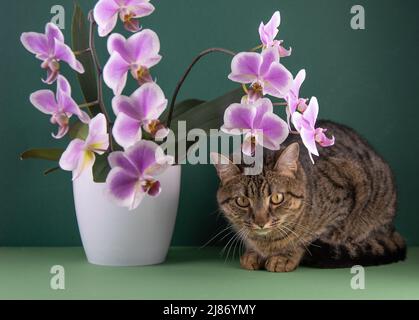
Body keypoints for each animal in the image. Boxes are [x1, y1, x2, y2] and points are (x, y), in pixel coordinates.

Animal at [213, 120, 406, 272]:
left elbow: (308, 239)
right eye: (242, 201)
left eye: (277, 198)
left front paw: (286, 256)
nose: (261, 223)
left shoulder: (341, 208)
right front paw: (253, 253)